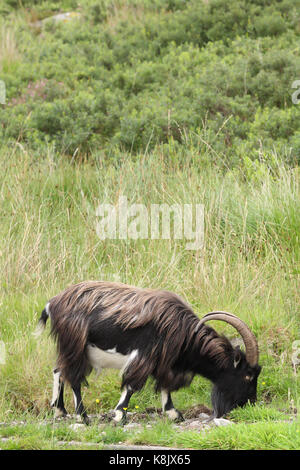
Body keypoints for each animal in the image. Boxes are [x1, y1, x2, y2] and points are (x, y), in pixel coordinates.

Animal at [34, 280, 260, 424]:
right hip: (75, 344)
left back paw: (60, 411)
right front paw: (119, 415)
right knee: (74, 377)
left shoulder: (166, 362)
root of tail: (52, 303)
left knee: (59, 370)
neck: (185, 333)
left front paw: (173, 414)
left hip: (71, 348)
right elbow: (132, 385)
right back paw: (82, 416)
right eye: (247, 375)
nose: (250, 404)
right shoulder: (146, 355)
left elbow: (165, 386)